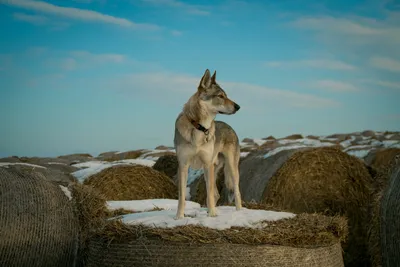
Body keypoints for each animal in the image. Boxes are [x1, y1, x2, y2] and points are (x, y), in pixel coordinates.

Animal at [173, 69, 242, 220]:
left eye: (226, 95)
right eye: (220, 96)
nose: (238, 107)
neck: (199, 127)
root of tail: (230, 128)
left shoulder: (206, 164)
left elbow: (209, 193)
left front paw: (212, 214)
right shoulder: (183, 165)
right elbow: (181, 197)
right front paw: (179, 217)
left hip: (229, 168)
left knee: (236, 191)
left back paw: (239, 211)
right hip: (213, 169)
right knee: (216, 193)